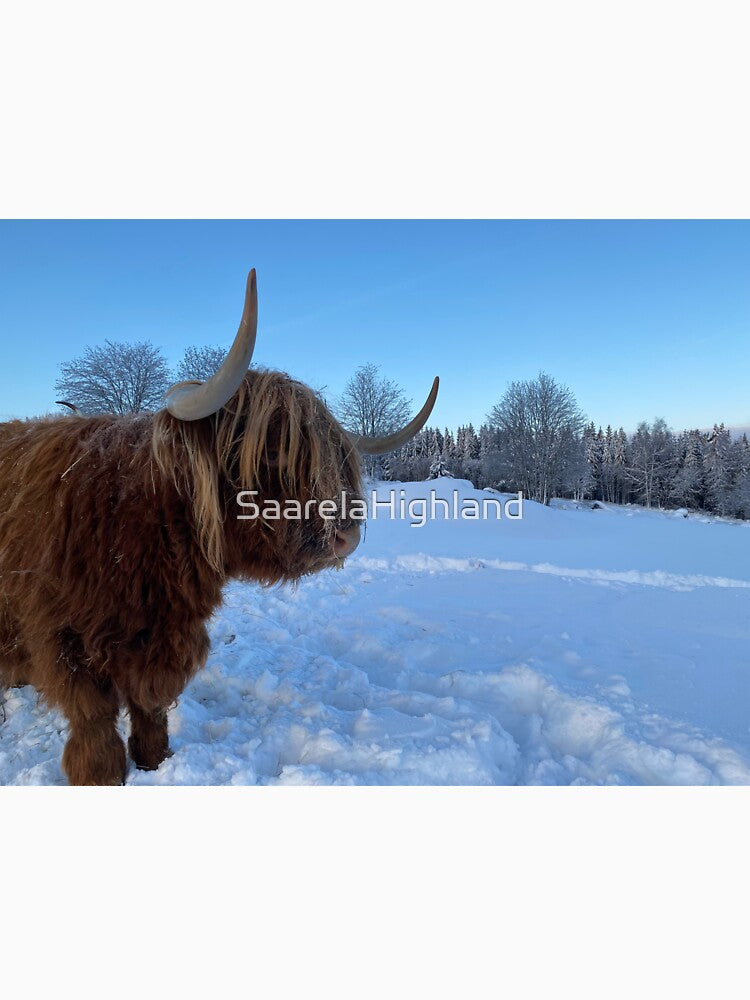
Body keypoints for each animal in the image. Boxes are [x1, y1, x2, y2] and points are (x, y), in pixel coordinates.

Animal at [0, 270, 438, 784]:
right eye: (273, 452)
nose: (346, 534)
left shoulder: (166, 640)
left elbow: (151, 710)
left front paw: (156, 762)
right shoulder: (68, 642)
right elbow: (95, 724)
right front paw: (102, 777)